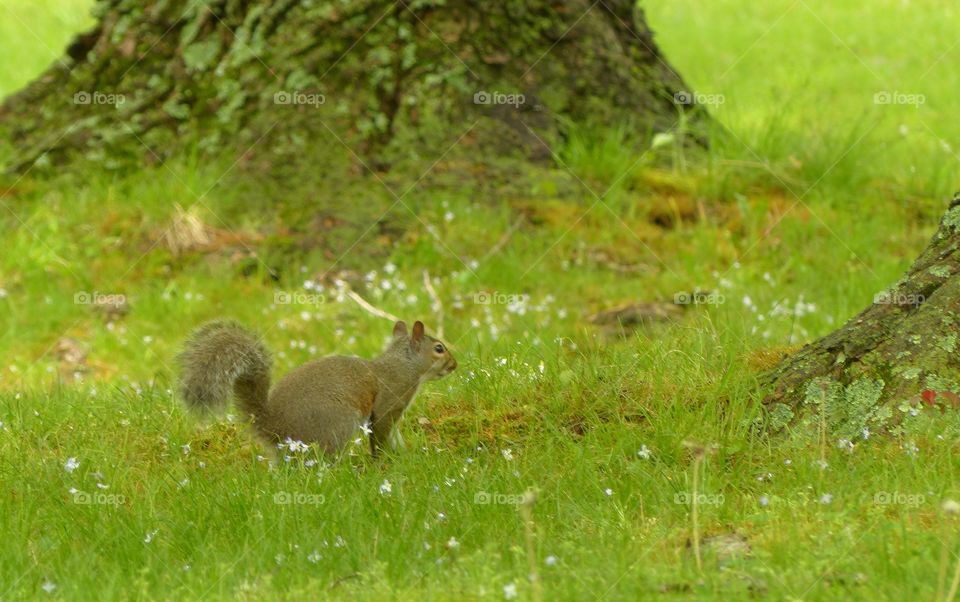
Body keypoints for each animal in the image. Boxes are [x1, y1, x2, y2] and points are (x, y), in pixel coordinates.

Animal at [177, 319, 456, 456]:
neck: (404, 365)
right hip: (338, 422)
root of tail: (273, 425)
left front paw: (403, 455)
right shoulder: (390, 403)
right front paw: (385, 461)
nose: (455, 365)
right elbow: (381, 434)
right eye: (439, 348)